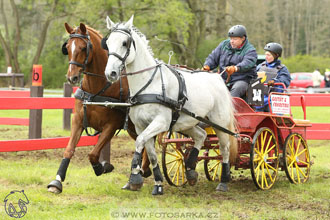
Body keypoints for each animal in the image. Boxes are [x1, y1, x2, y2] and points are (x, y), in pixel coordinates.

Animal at [46, 22, 150, 194]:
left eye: (83, 48)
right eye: (67, 47)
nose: (72, 77)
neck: (98, 88)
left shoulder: (110, 126)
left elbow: (93, 154)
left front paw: (103, 167)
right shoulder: (78, 121)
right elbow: (69, 149)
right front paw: (57, 181)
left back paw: (143, 171)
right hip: (132, 128)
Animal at [102, 15, 237, 194]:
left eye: (125, 43)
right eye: (108, 42)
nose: (110, 73)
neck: (150, 84)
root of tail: (218, 77)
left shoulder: (161, 122)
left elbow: (139, 142)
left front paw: (135, 176)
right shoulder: (141, 126)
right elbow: (151, 154)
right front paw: (158, 183)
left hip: (219, 123)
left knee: (224, 148)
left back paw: (223, 180)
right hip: (188, 122)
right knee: (201, 135)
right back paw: (190, 169)